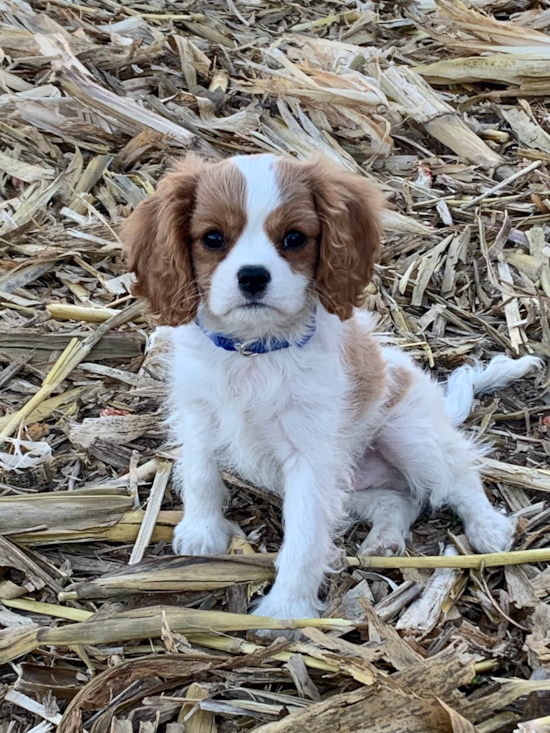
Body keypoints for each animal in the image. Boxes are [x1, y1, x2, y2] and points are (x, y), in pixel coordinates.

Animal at [124, 152, 544, 620]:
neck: (254, 350)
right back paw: (385, 539)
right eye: (213, 238)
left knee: (459, 476)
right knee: (400, 500)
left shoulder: (310, 459)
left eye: (294, 238)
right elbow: (200, 474)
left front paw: (286, 612)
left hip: (410, 433)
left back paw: (488, 527)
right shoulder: (198, 414)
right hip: (350, 483)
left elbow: (305, 536)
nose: (252, 276)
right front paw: (202, 532)